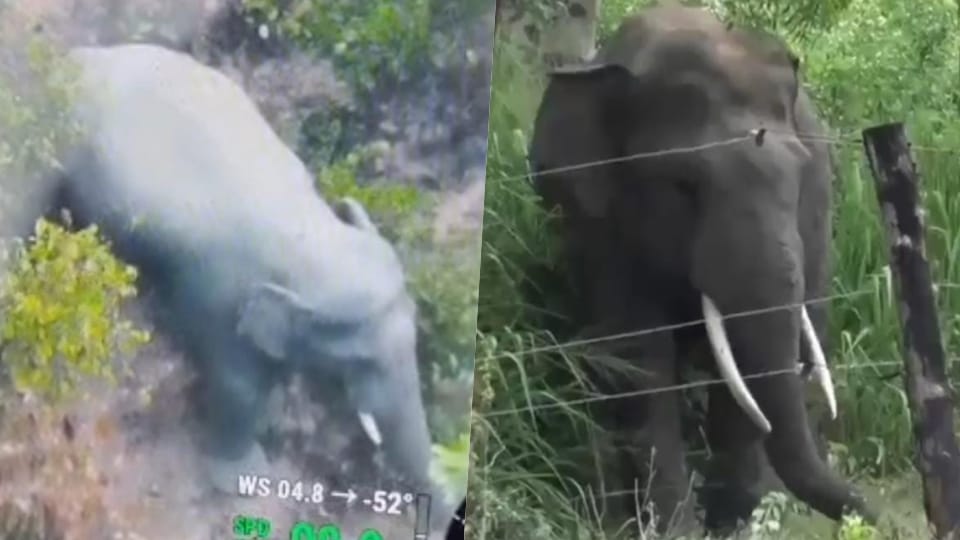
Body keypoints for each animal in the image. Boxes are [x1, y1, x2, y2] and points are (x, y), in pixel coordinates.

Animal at [527, 4, 871, 535]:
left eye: (798, 174)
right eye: (683, 185)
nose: (868, 514)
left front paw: (729, 523)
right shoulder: (597, 222)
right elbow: (640, 357)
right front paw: (674, 529)